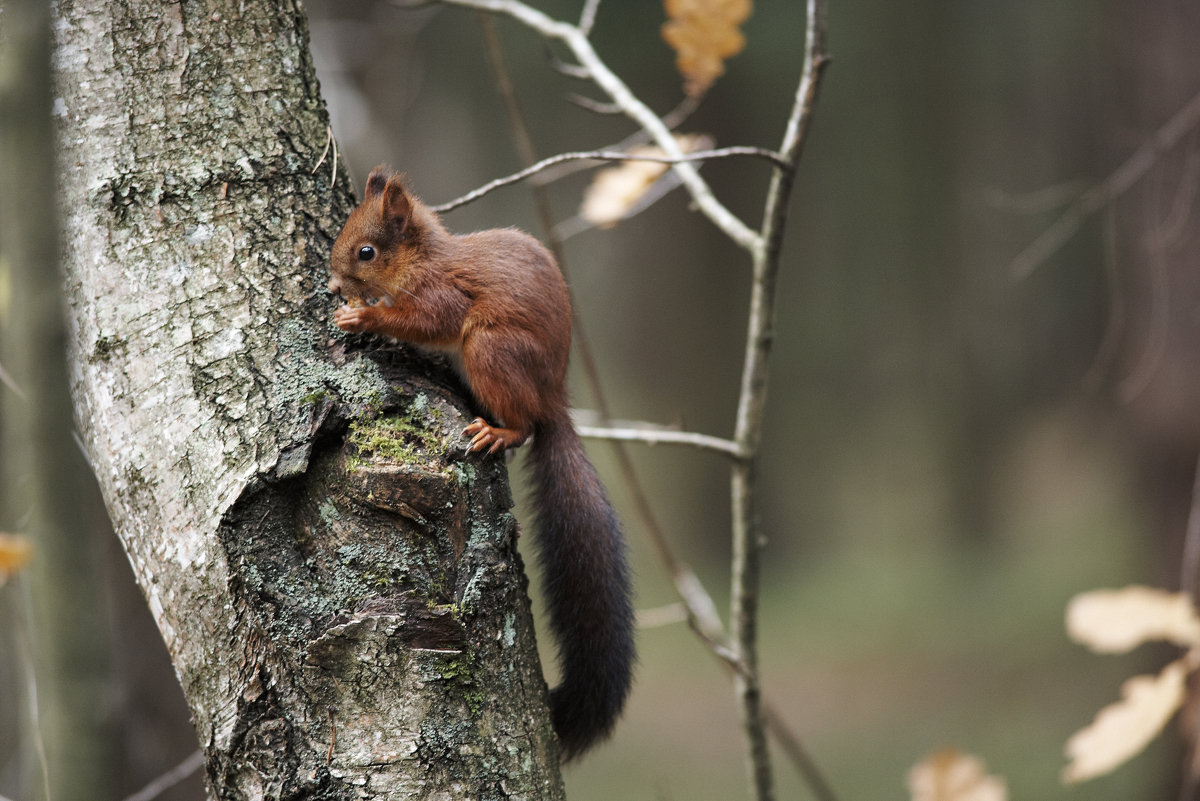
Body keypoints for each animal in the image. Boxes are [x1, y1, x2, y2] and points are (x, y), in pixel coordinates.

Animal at [324, 167, 633, 757]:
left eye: (367, 252)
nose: (333, 287)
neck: (423, 260)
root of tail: (553, 399)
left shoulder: (444, 295)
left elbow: (425, 320)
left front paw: (363, 314)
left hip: (492, 348)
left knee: (525, 425)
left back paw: (499, 430)